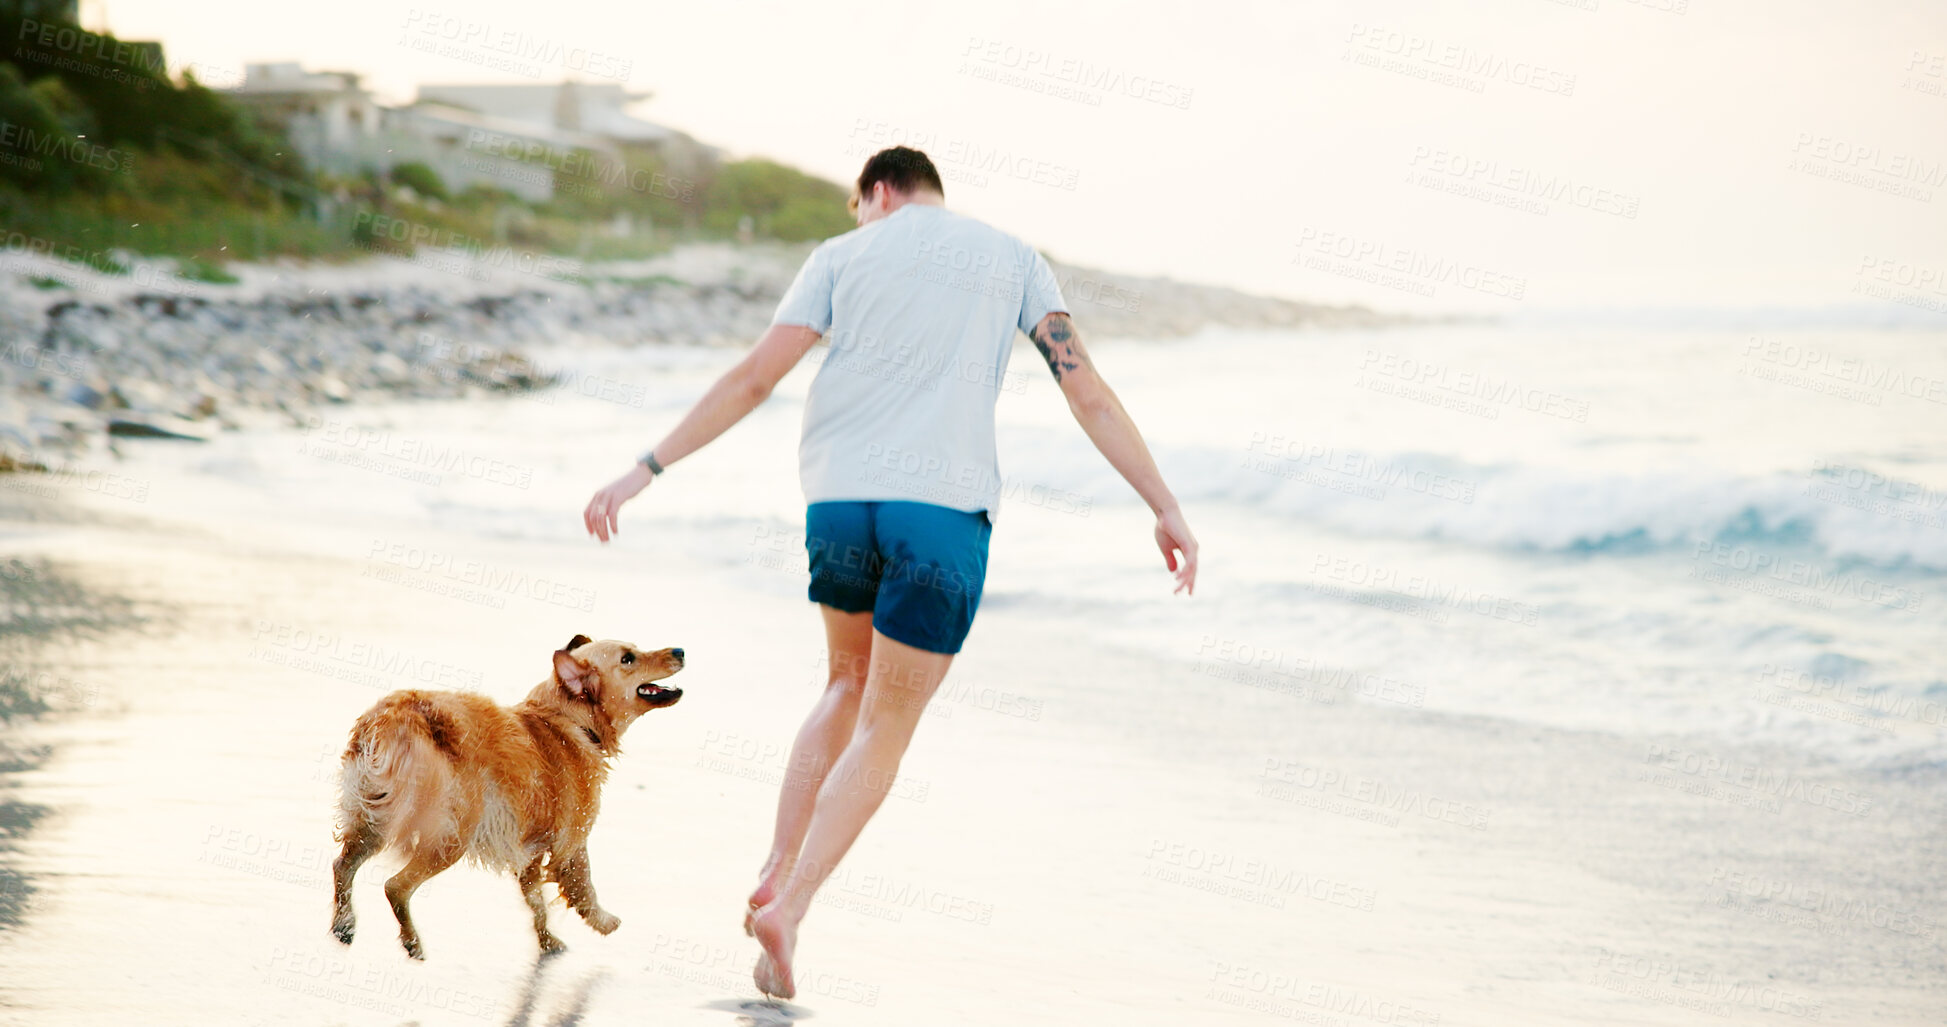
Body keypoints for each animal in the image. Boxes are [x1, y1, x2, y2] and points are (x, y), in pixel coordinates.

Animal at [323, 631, 681, 958]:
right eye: (628, 658)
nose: (680, 650)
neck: (567, 717)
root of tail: (395, 718)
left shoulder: (530, 848)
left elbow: (534, 899)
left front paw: (547, 940)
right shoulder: (572, 840)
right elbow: (584, 887)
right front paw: (604, 922)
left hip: (373, 815)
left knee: (342, 865)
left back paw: (345, 924)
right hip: (450, 836)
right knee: (395, 886)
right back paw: (412, 943)